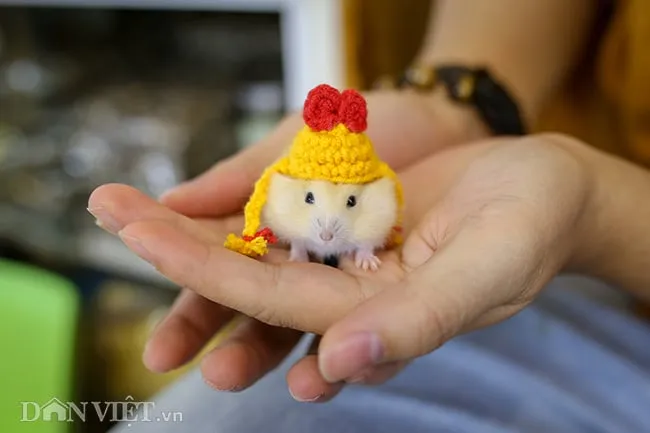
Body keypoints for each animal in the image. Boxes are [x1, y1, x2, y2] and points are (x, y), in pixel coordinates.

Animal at [261, 172, 399, 271]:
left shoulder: (377, 223)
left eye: (352, 201)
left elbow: (366, 246)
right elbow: (297, 244)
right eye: (308, 198)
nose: (326, 237)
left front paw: (369, 266)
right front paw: (297, 261)